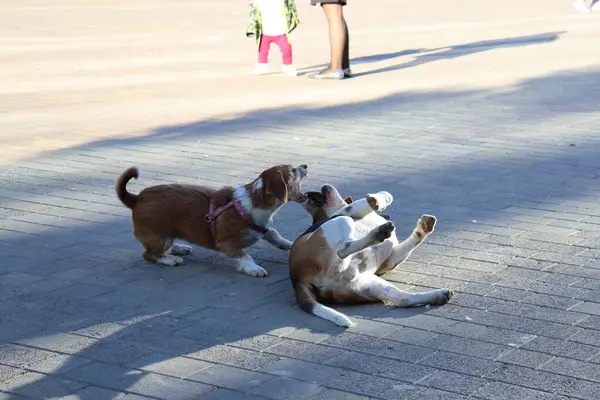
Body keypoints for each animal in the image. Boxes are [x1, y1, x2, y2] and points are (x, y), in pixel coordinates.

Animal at [116, 164, 310, 276]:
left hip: (166, 236)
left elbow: (273, 233)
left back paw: (179, 248)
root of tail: (136, 199)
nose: (305, 165)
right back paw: (169, 259)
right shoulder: (226, 245)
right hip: (158, 238)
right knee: (149, 255)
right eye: (293, 171)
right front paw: (253, 268)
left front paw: (287, 244)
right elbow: (244, 255)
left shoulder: (261, 229)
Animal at [288, 184, 452, 328]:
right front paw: (379, 199)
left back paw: (438, 295)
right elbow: (380, 196)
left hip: (368, 285)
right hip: (343, 221)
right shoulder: (344, 212)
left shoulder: (391, 258)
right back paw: (378, 233)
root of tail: (298, 280)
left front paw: (423, 228)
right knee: (343, 249)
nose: (319, 189)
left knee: (403, 299)